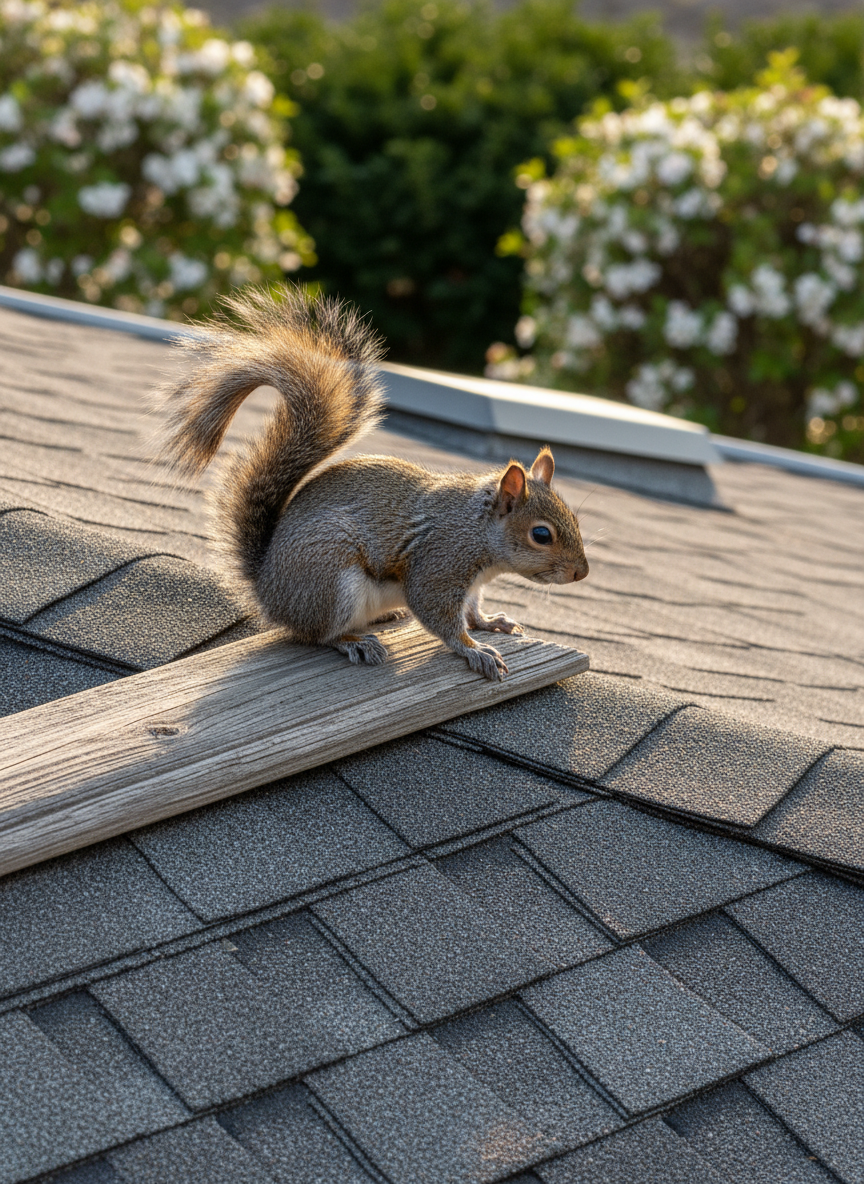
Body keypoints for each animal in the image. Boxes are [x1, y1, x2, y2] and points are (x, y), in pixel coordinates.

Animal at [156, 285, 589, 681]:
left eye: (575, 521)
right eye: (541, 535)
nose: (581, 573)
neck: (476, 530)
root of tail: (267, 589)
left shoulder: (472, 584)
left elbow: (471, 609)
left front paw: (490, 623)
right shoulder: (439, 563)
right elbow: (439, 615)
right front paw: (474, 649)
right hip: (330, 580)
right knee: (316, 634)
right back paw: (353, 641)